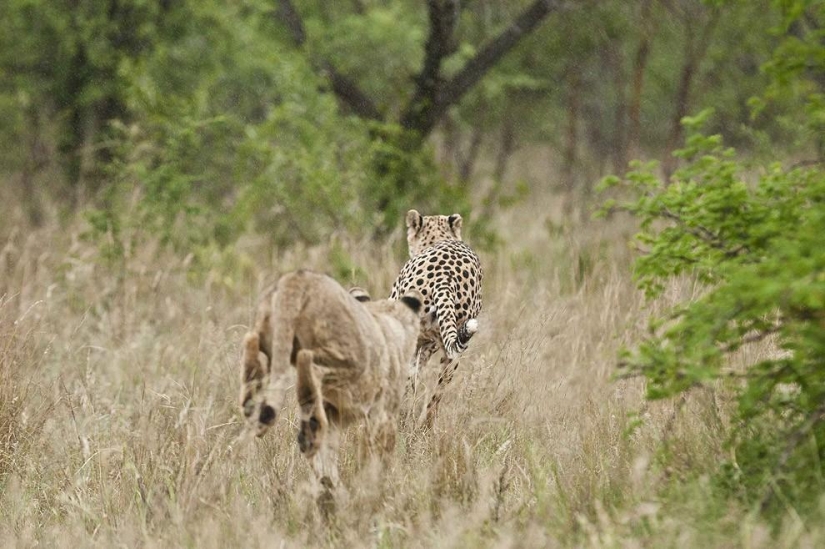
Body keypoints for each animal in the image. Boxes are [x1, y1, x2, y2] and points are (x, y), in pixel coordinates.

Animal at [388, 209, 480, 424]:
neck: (440, 238)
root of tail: (445, 278)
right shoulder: (428, 345)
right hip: (455, 350)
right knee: (437, 390)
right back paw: (423, 424)